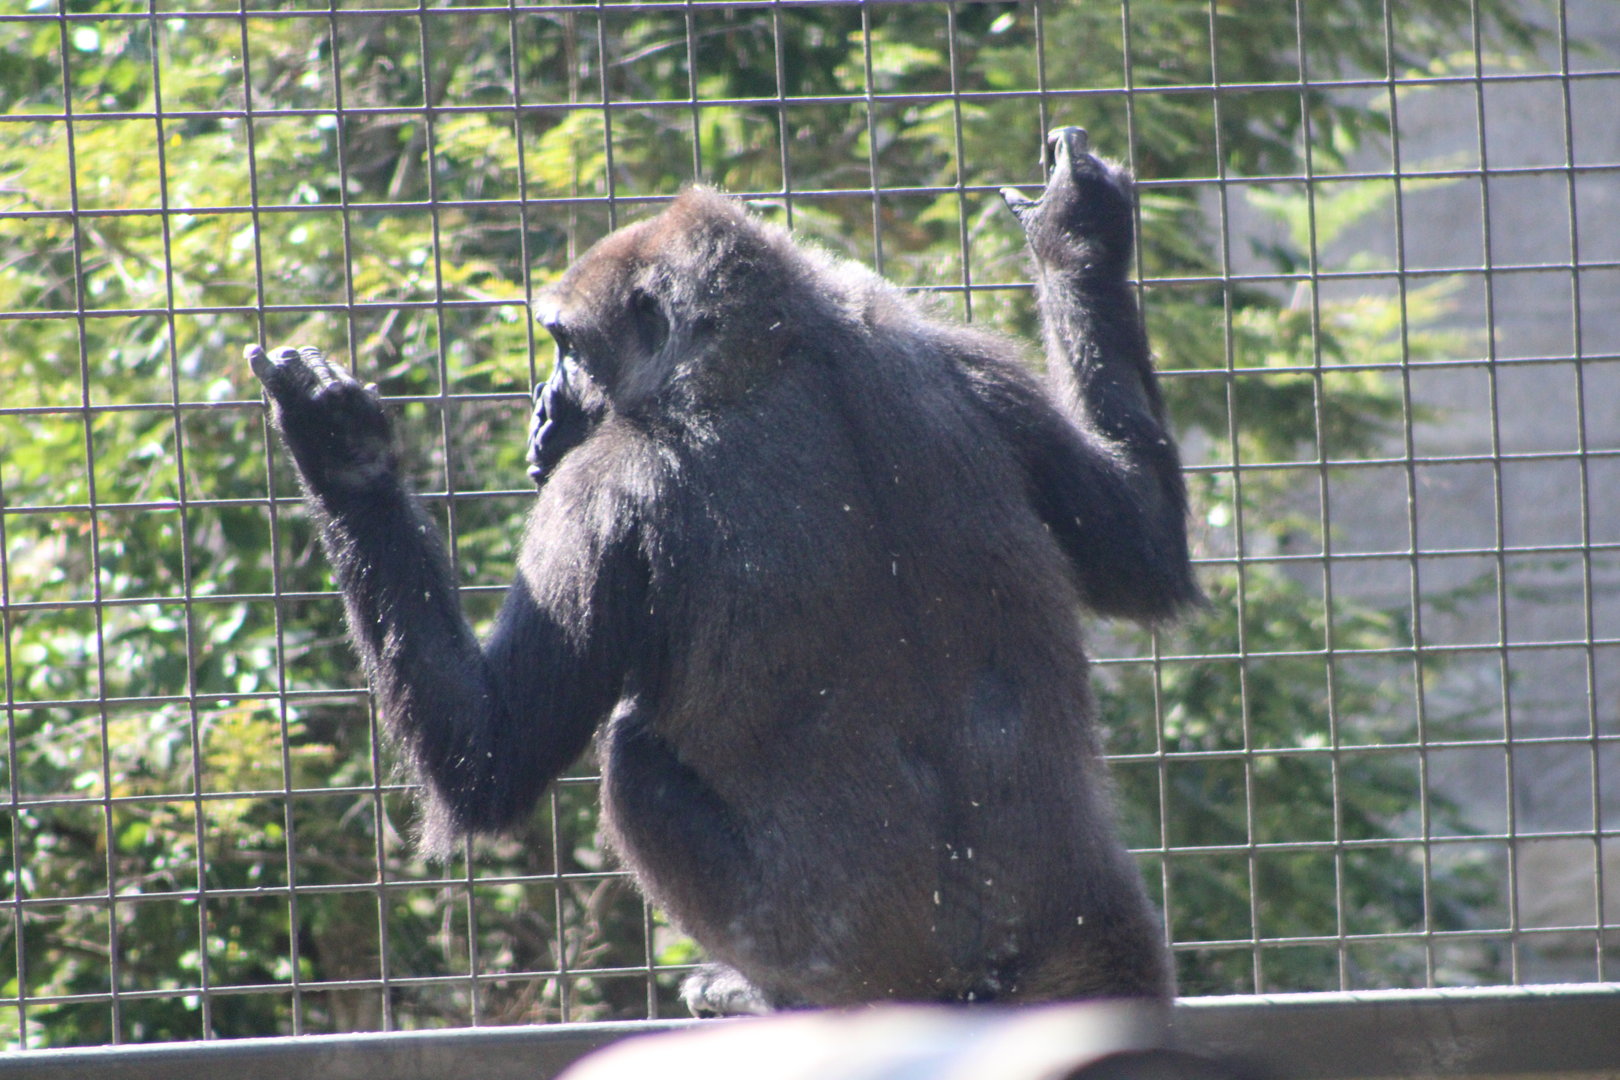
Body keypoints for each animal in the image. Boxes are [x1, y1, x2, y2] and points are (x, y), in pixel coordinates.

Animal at [248, 126, 1199, 1016]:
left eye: (568, 347)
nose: (544, 410)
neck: (778, 343)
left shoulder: (604, 486)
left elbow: (487, 757)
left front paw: (343, 456)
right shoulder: (972, 362)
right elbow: (1144, 547)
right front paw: (1079, 234)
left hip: (870, 974)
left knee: (631, 760)